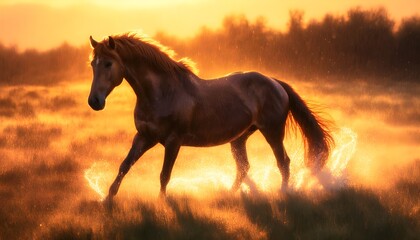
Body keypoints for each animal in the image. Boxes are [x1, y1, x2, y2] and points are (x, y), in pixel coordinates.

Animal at [87, 33, 334, 204]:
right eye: (92, 64)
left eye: (108, 63)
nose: (94, 101)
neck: (161, 93)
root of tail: (275, 82)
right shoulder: (144, 137)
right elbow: (124, 165)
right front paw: (107, 199)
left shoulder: (173, 142)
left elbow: (164, 175)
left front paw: (161, 202)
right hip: (240, 138)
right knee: (244, 167)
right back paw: (228, 195)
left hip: (272, 132)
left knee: (283, 162)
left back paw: (284, 193)